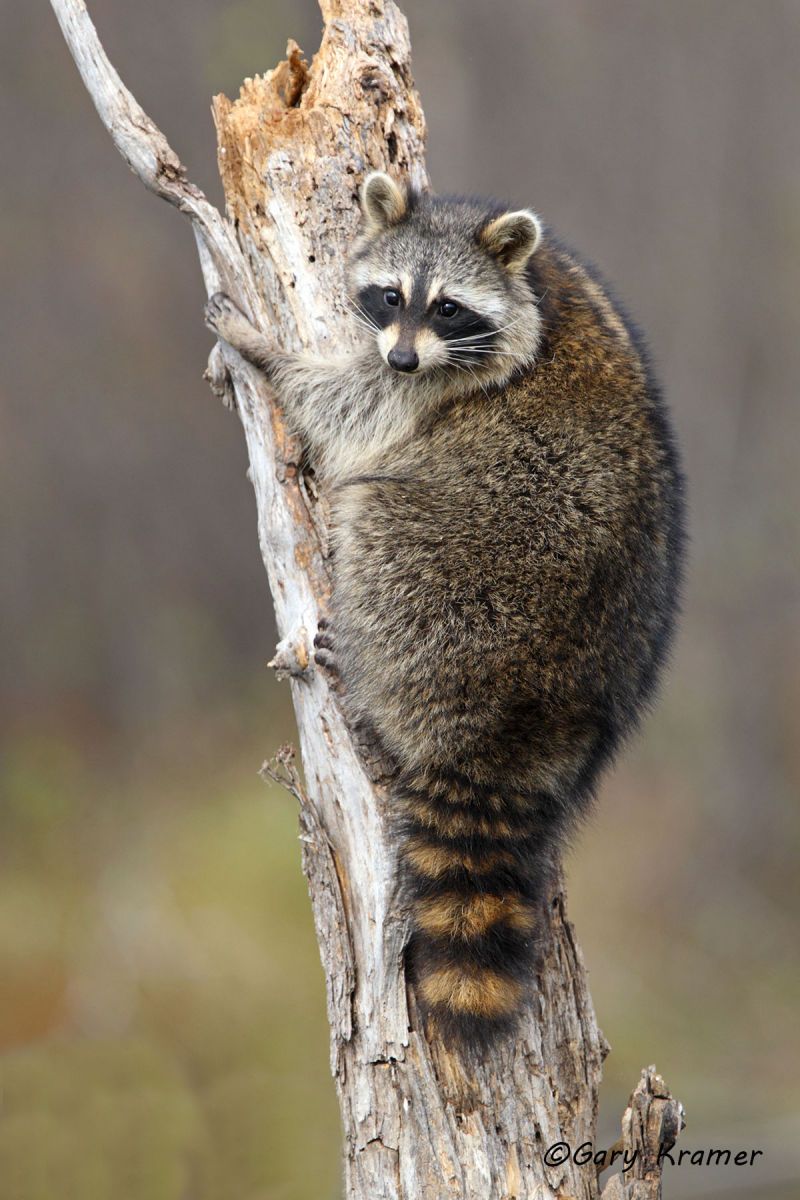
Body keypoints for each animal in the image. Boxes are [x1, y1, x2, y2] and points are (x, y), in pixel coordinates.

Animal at [205, 172, 685, 1046]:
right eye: (391, 295)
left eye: (450, 308)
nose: (400, 354)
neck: (534, 285)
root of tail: (527, 726)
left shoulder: (437, 388)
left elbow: (352, 412)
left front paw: (267, 351)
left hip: (454, 581)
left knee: (377, 517)